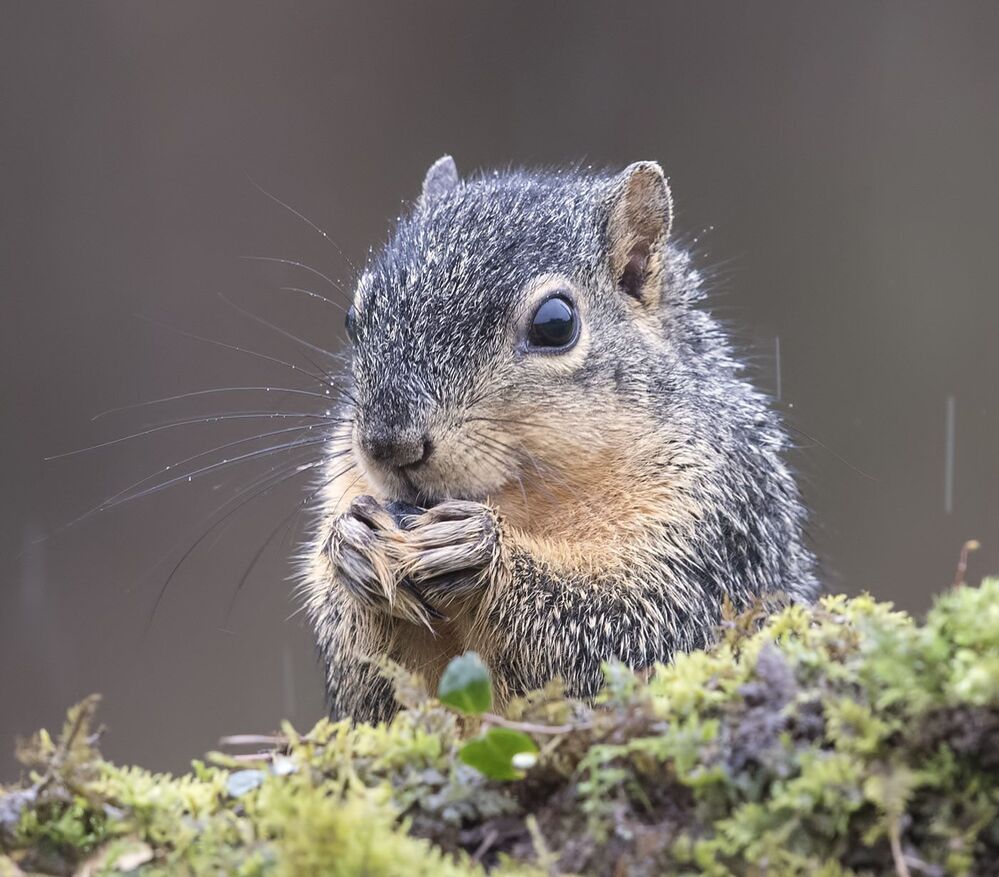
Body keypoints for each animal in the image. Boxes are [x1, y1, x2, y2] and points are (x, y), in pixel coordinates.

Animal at [300, 156, 818, 724]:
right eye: (354, 320)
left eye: (556, 324)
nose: (392, 445)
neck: (524, 499)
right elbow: (375, 696)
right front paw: (352, 545)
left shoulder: (716, 528)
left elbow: (640, 633)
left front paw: (481, 552)